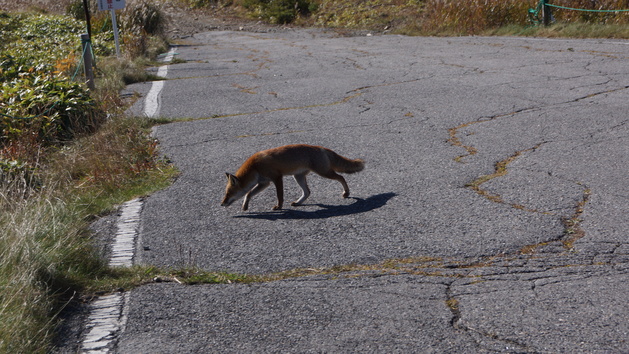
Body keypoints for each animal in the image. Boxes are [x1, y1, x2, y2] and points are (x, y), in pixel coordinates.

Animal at [223, 144, 366, 210]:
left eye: (228, 193)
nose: (221, 203)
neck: (255, 167)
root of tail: (321, 147)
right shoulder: (264, 183)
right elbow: (248, 194)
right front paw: (245, 206)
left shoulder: (277, 177)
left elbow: (280, 196)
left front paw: (279, 207)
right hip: (298, 177)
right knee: (308, 192)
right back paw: (298, 202)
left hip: (323, 173)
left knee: (341, 177)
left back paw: (346, 193)